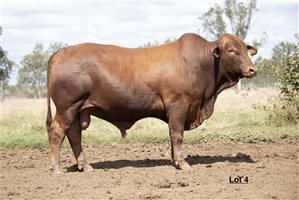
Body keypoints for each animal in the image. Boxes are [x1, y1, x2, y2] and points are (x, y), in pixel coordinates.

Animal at [46, 33, 258, 173]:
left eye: (245, 50)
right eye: (230, 50)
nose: (252, 69)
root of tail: (62, 51)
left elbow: (173, 137)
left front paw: (174, 160)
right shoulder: (179, 106)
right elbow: (177, 135)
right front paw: (182, 163)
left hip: (77, 109)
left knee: (74, 135)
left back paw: (85, 166)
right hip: (67, 107)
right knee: (57, 132)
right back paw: (56, 168)